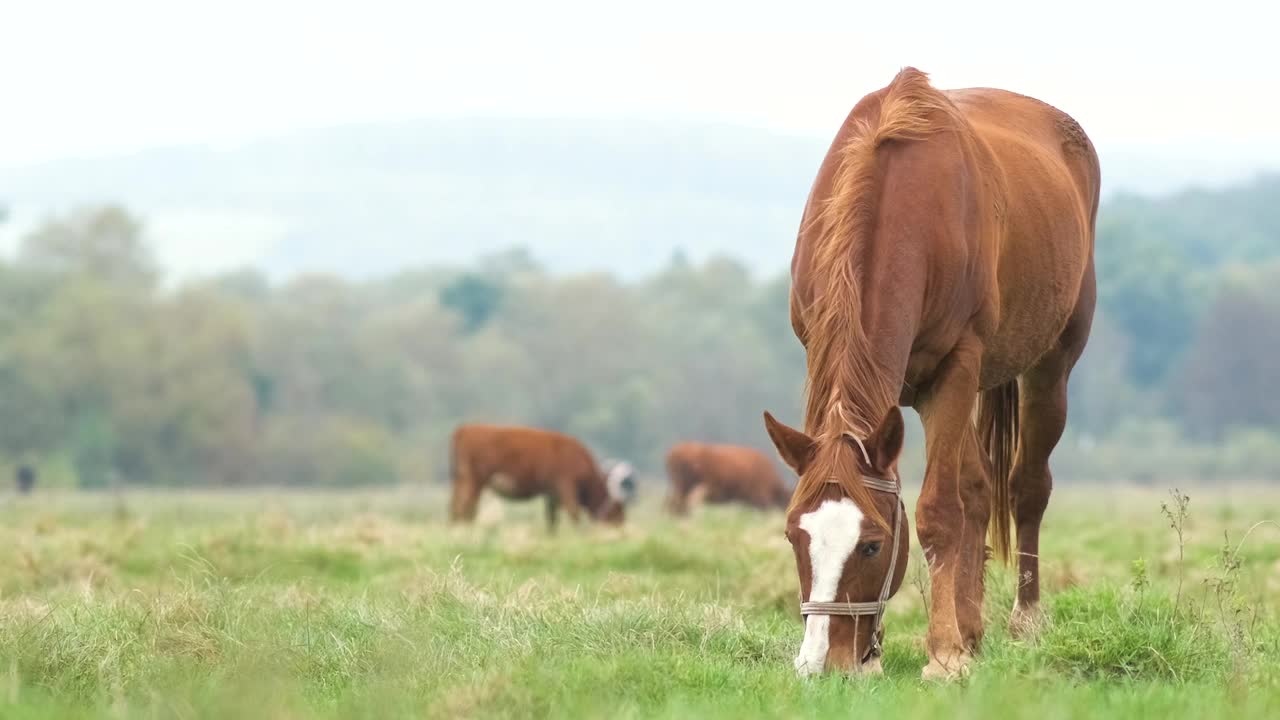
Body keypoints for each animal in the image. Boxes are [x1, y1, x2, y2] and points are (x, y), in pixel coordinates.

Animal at [448, 420, 632, 527]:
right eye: (618, 509)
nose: (622, 525)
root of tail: (464, 429)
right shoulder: (566, 486)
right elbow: (573, 513)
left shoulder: (551, 495)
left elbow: (551, 519)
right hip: (476, 480)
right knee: (467, 508)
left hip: (461, 480)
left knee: (456, 506)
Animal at [757, 64, 1100, 676]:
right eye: (795, 537)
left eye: (872, 544)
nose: (822, 663)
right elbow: (961, 500)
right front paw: (951, 641)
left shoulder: (956, 368)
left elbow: (940, 511)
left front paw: (943, 655)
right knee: (978, 490)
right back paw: (972, 627)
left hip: (1048, 367)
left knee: (1026, 487)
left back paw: (1022, 621)